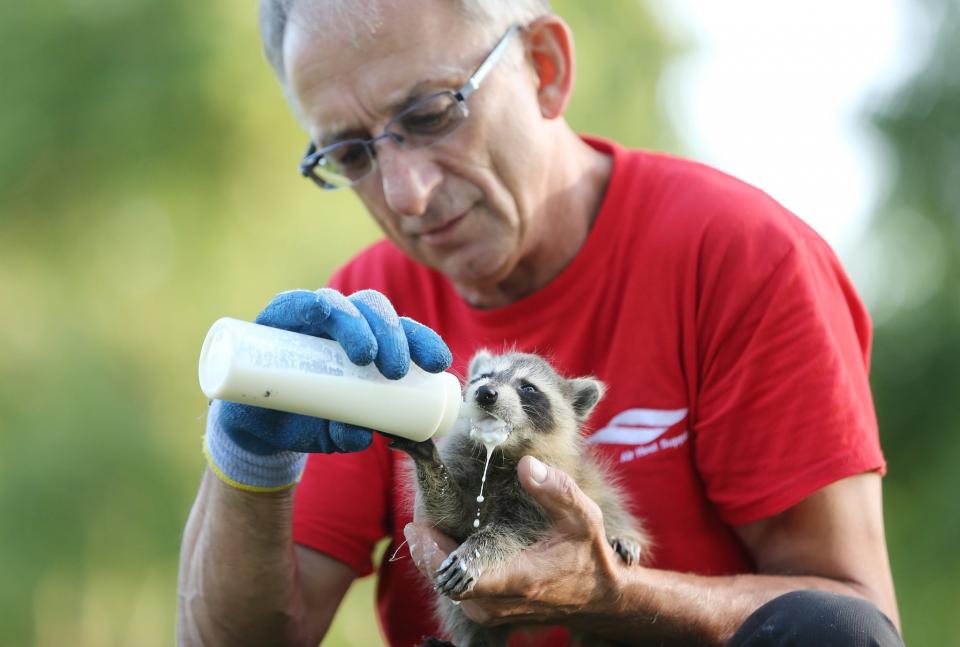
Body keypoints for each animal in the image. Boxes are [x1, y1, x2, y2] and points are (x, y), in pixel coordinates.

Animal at [390, 352, 652, 644]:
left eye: (528, 388)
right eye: (484, 376)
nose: (485, 393)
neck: (500, 453)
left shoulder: (546, 489)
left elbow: (516, 531)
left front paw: (477, 551)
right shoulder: (463, 460)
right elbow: (452, 516)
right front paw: (429, 461)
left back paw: (620, 537)